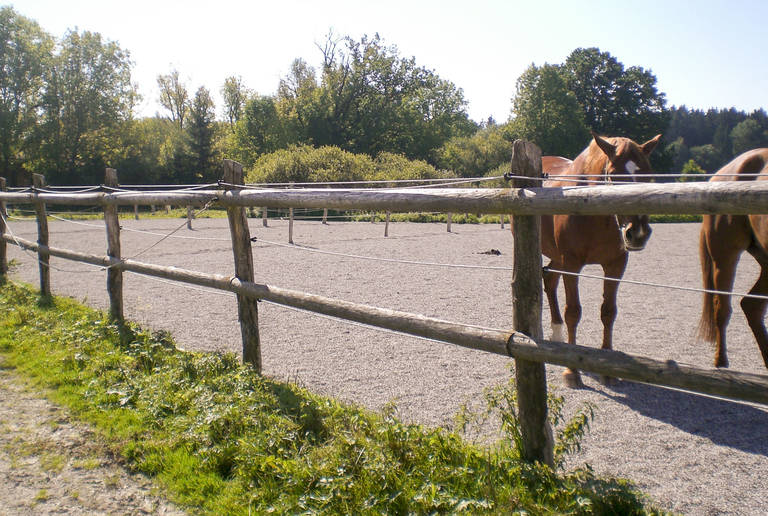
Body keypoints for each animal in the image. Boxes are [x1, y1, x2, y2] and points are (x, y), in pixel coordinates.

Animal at [536, 132, 660, 388]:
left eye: (649, 175)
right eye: (612, 176)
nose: (638, 233)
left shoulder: (616, 265)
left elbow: (608, 312)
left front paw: (608, 370)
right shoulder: (572, 264)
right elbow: (573, 312)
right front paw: (572, 371)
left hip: (558, 257)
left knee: (549, 279)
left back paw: (556, 333)